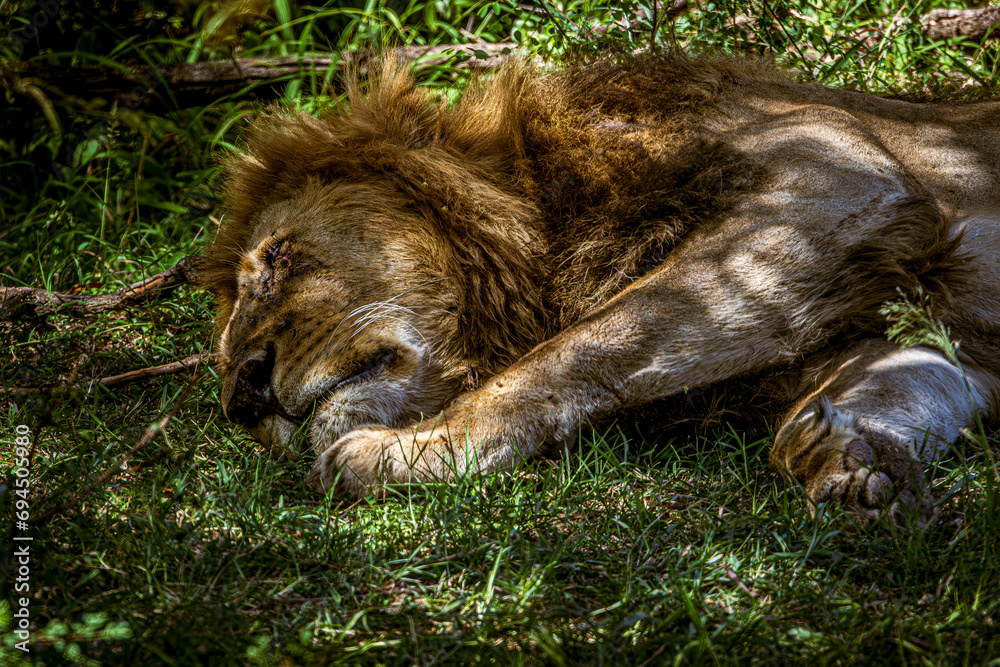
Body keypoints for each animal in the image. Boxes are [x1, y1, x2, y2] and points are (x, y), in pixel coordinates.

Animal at [204, 53, 1000, 526]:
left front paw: (420, 448)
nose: (244, 397)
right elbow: (898, 383)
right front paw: (858, 463)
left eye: (278, 257)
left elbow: (583, 347)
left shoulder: (836, 180)